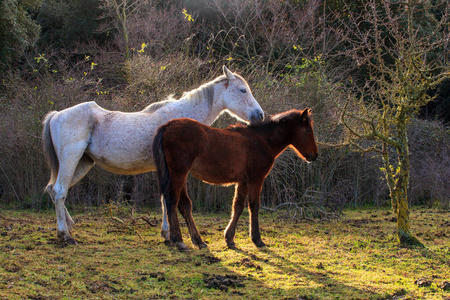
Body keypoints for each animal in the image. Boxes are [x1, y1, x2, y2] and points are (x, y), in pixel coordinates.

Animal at [42, 65, 264, 244]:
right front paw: (171, 235)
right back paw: (65, 235)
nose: (259, 115)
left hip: (82, 163)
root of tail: (57, 115)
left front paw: (166, 233)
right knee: (60, 191)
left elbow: (164, 198)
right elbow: (170, 198)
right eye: (243, 90)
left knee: (53, 190)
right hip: (71, 160)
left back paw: (69, 226)